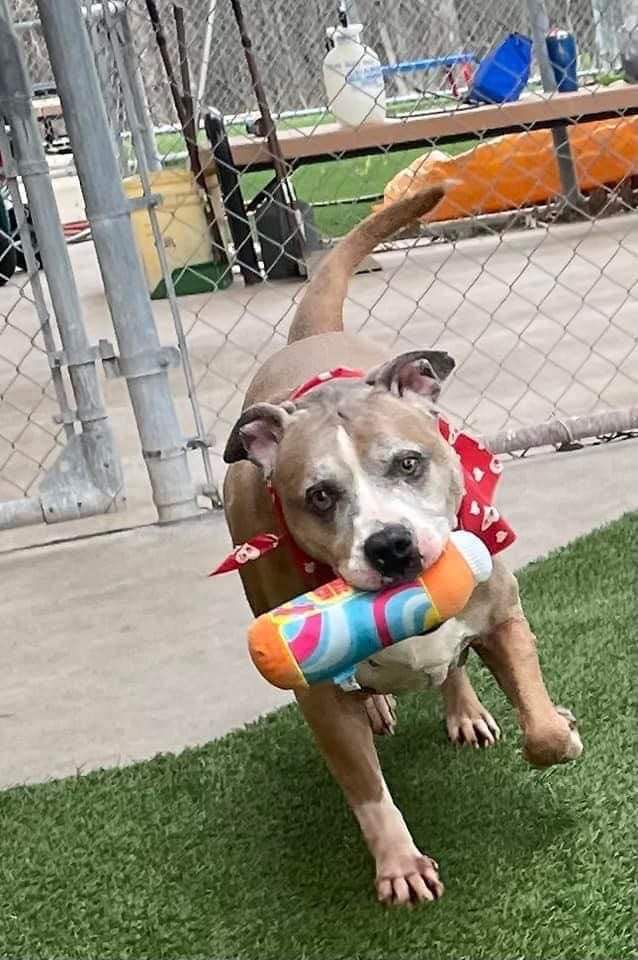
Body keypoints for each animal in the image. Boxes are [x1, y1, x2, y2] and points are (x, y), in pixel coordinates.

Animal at [221, 186, 584, 908]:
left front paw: (557, 725)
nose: (389, 545)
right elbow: (366, 789)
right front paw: (398, 863)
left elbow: (540, 727)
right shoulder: (318, 699)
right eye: (320, 496)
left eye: (409, 463)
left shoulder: (501, 611)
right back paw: (385, 703)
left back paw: (465, 709)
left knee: (454, 666)